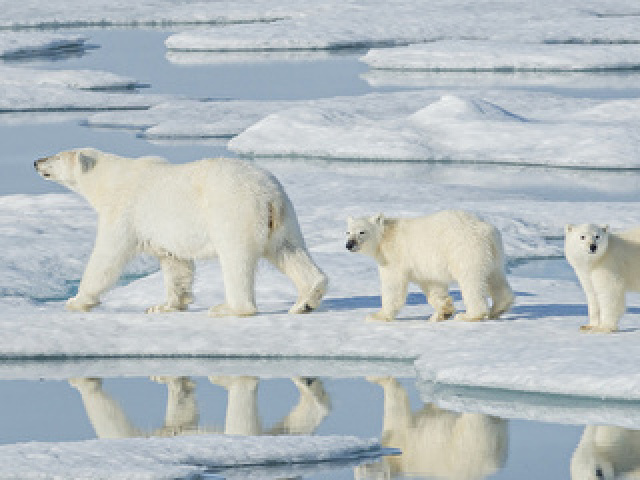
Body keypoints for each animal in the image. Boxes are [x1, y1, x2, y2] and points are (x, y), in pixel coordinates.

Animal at [35, 148, 328, 316]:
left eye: (56, 156)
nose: (37, 161)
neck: (110, 179)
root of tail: (269, 193)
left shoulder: (125, 211)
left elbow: (108, 256)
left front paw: (77, 300)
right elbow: (175, 264)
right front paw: (163, 306)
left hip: (234, 210)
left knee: (236, 259)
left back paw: (228, 308)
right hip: (284, 216)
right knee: (289, 251)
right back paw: (305, 301)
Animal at [344, 210, 516, 322]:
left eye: (362, 232)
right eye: (348, 232)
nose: (349, 244)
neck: (384, 236)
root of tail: (486, 230)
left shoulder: (393, 257)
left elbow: (393, 286)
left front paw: (376, 315)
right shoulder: (425, 266)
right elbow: (433, 286)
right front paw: (442, 312)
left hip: (464, 250)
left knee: (470, 281)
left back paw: (469, 315)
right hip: (494, 254)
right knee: (495, 277)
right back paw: (497, 309)